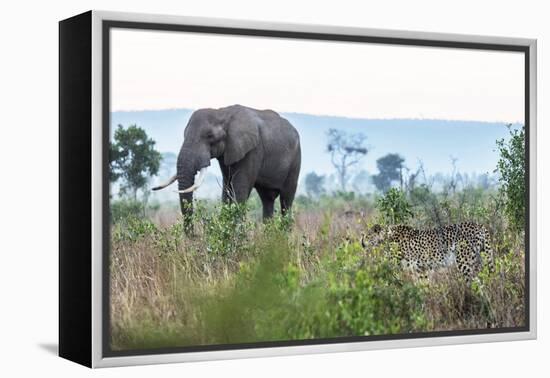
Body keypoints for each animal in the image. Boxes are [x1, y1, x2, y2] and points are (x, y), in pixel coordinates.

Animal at [153, 105, 304, 226]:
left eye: (210, 136)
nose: (193, 237)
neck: (222, 113)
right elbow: (227, 188)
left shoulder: (253, 150)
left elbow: (239, 190)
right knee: (267, 200)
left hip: (296, 158)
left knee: (286, 199)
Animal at [364, 221, 498, 280]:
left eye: (367, 236)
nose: (362, 243)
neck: (387, 236)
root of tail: (479, 224)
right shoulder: (421, 269)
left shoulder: (400, 267)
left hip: (464, 262)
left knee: (476, 282)